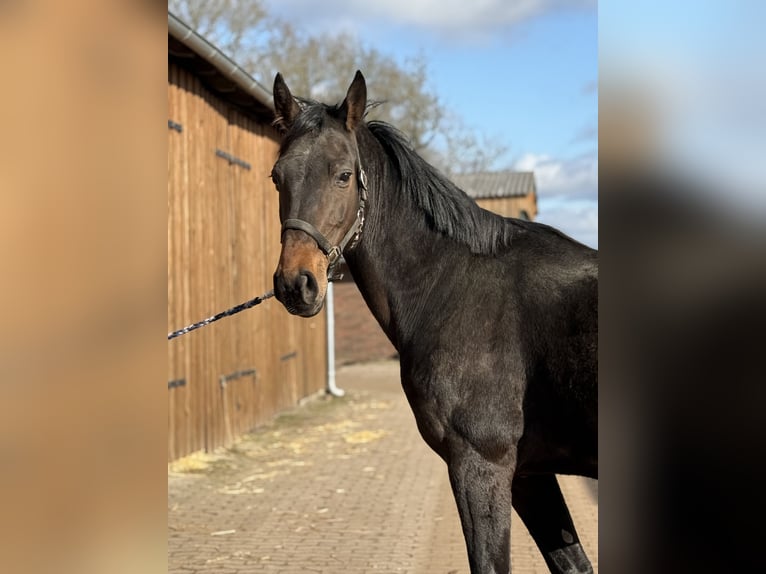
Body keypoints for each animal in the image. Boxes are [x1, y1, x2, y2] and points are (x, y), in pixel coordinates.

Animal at [270, 72, 600, 574]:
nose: (296, 284)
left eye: (343, 175)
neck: (452, 284)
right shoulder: (530, 473)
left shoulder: (481, 464)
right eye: (277, 177)